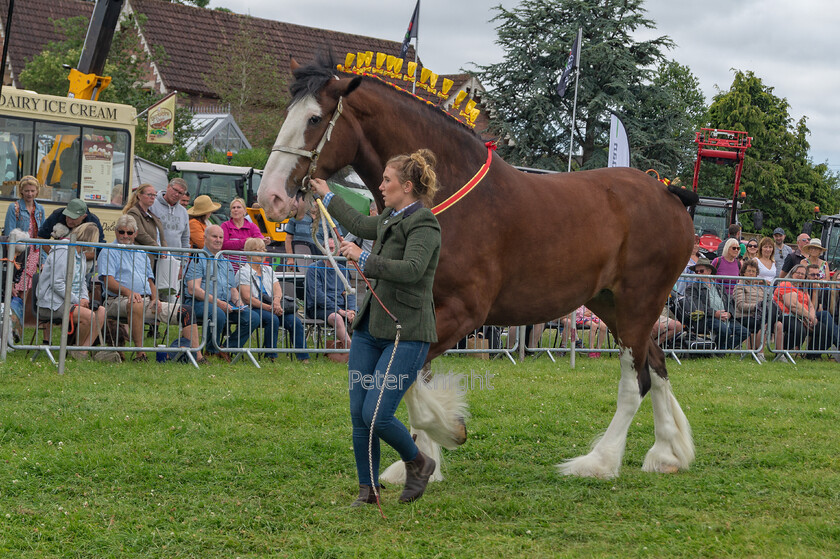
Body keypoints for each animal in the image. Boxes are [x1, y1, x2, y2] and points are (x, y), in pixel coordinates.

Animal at [260, 55, 696, 482]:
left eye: (314, 119)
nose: (271, 197)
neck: (450, 196)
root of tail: (669, 194)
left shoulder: (464, 313)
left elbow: (405, 378)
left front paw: (447, 430)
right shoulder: (425, 313)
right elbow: (413, 376)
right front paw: (419, 460)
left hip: (638, 303)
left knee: (636, 380)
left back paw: (599, 462)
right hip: (613, 305)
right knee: (657, 364)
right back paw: (667, 453)